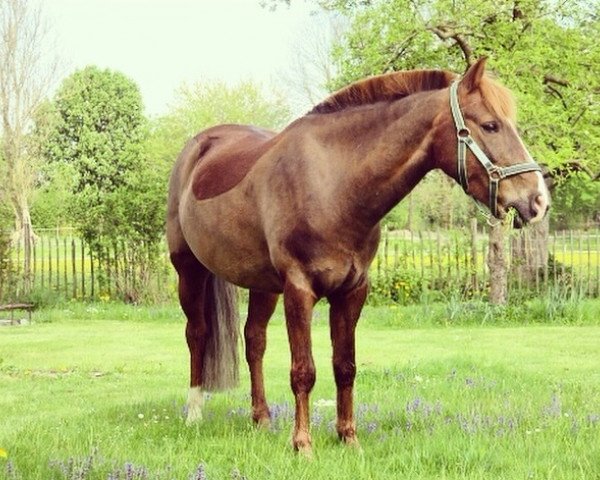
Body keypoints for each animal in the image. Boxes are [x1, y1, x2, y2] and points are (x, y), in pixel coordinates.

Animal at [166, 58, 552, 452]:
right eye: (490, 125)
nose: (538, 201)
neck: (333, 185)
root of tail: (199, 147)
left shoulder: (352, 290)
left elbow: (345, 366)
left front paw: (348, 438)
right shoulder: (299, 290)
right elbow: (303, 370)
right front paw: (303, 445)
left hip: (263, 286)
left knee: (254, 340)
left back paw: (261, 419)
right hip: (189, 271)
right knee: (197, 334)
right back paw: (194, 413)